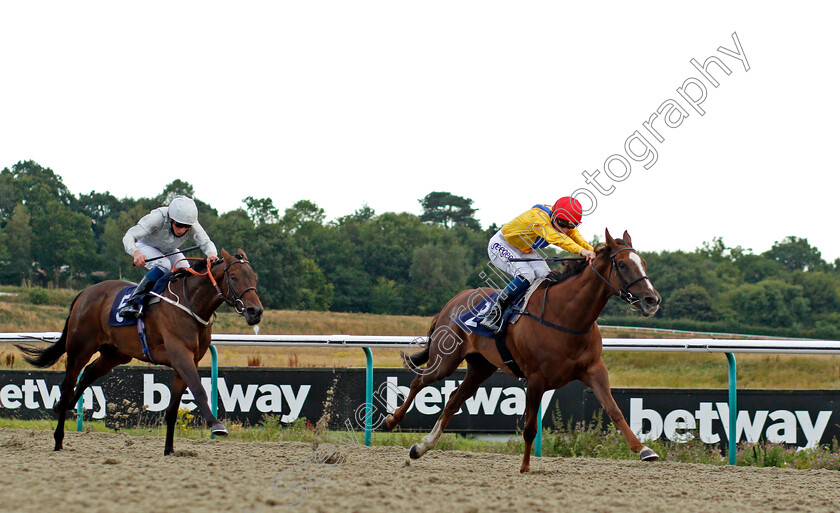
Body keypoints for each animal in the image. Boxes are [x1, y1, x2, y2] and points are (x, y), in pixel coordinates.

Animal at [17, 248, 262, 452]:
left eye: (255, 278)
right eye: (233, 277)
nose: (255, 312)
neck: (190, 303)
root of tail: (84, 293)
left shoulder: (186, 362)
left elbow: (172, 410)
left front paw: (169, 450)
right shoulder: (180, 356)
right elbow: (199, 389)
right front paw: (216, 424)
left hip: (115, 354)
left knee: (87, 374)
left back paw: (62, 405)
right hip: (80, 348)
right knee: (69, 384)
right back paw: (58, 438)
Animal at [386, 230, 664, 470]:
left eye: (644, 263)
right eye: (623, 265)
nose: (653, 300)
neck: (567, 316)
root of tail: (455, 299)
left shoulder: (594, 369)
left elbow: (615, 410)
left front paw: (644, 450)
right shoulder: (536, 379)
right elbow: (530, 427)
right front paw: (525, 466)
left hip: (481, 366)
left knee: (454, 399)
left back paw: (421, 448)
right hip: (446, 360)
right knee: (419, 381)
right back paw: (392, 420)